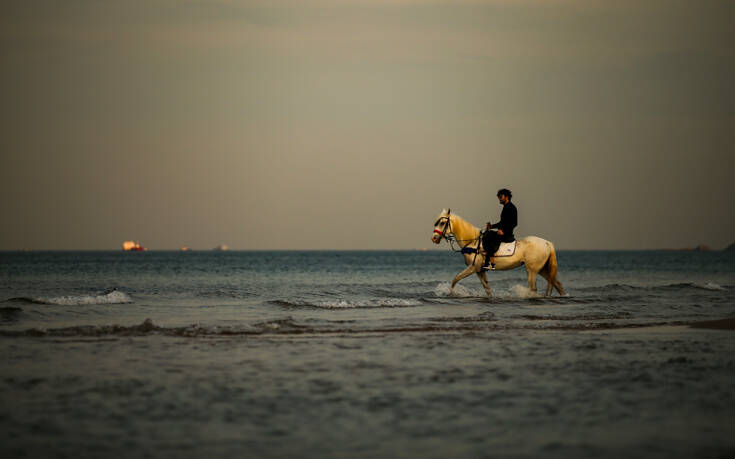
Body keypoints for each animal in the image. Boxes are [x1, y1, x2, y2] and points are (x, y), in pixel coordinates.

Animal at [432, 209, 568, 298]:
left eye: (442, 223)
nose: (434, 238)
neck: (473, 242)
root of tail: (547, 243)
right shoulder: (480, 270)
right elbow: (487, 288)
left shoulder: (472, 268)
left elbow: (455, 279)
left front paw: (451, 293)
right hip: (542, 269)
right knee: (557, 284)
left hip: (532, 270)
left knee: (534, 288)